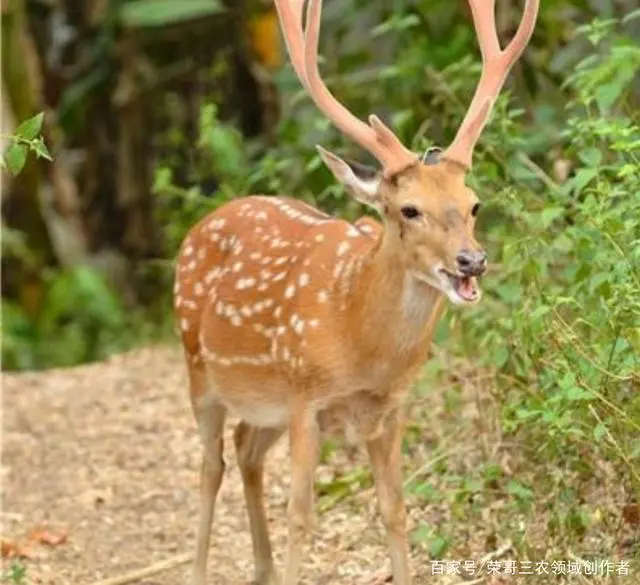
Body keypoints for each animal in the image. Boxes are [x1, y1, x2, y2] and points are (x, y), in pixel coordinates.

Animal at [175, 1, 540, 584]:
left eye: (474, 204)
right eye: (408, 209)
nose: (472, 261)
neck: (359, 342)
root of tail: (203, 222)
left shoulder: (389, 409)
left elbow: (394, 508)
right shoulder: (305, 397)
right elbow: (301, 515)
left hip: (264, 403)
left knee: (246, 449)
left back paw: (263, 568)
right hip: (199, 369)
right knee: (212, 464)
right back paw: (201, 570)